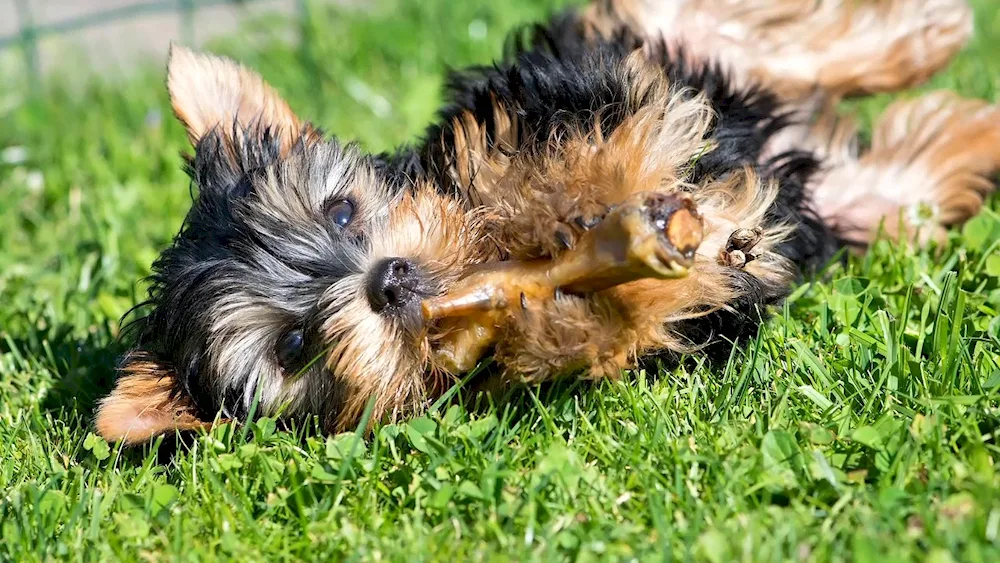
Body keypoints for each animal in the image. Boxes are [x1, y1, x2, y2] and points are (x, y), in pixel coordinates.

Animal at [95, 0, 1000, 448]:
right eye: (293, 346)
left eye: (341, 209)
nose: (387, 280)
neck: (480, 257)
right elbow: (623, 328)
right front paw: (562, 312)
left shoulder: (540, 97)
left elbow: (546, 150)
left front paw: (567, 204)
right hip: (847, 201)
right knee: (896, 182)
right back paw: (968, 127)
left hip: (659, 38)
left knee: (758, 32)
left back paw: (925, 30)